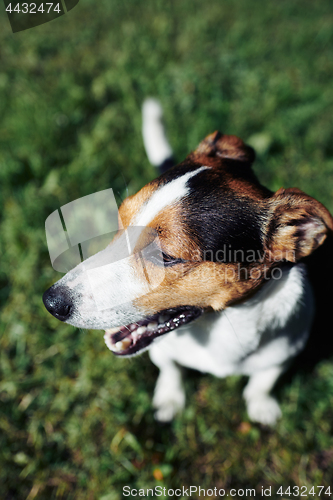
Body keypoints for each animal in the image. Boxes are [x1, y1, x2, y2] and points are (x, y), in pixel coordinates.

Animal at [42, 99, 332, 424]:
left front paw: (261, 405)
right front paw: (170, 399)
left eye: (166, 256)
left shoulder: (285, 352)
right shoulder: (164, 351)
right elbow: (170, 369)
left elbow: (263, 381)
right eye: (120, 222)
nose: (51, 302)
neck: (221, 326)